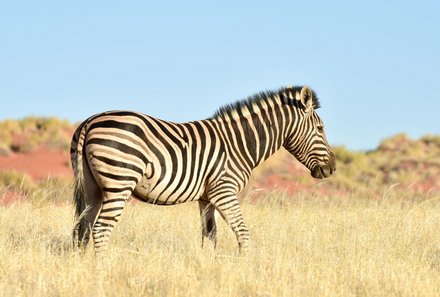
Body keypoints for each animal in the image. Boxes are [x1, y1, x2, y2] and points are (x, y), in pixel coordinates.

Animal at [72, 84, 336, 253]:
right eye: (320, 129)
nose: (332, 168)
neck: (239, 144)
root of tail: (90, 121)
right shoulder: (224, 191)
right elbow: (243, 233)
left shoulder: (207, 197)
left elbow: (209, 238)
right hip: (119, 181)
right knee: (101, 229)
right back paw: (102, 270)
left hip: (92, 187)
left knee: (83, 228)